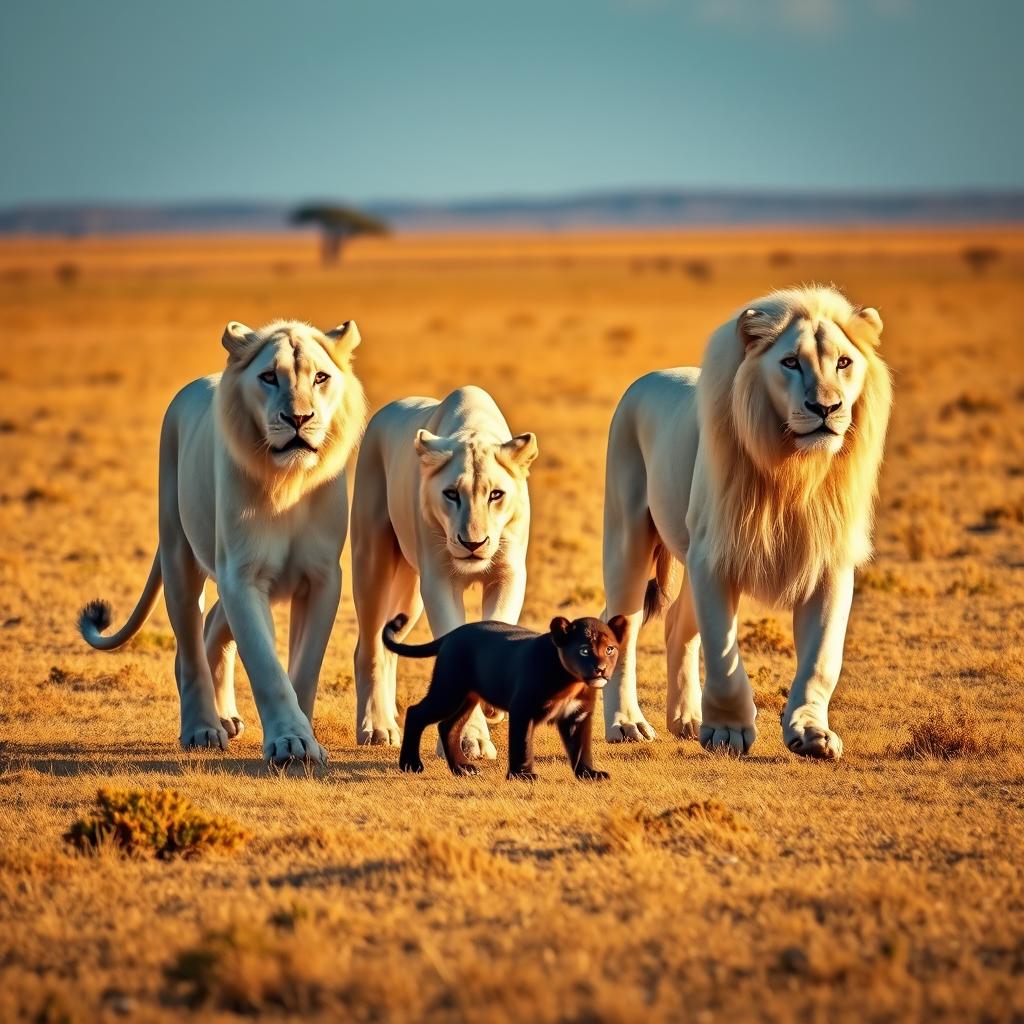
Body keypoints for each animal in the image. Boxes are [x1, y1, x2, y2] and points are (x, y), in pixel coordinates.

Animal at [78, 319, 367, 765]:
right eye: (269, 377)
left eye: (320, 377)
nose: (298, 418)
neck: (287, 481)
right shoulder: (241, 574)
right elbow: (266, 665)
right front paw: (290, 741)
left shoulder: (321, 578)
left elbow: (304, 669)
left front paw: (306, 739)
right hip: (179, 552)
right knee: (190, 646)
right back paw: (203, 728)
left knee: (214, 624)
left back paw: (225, 716)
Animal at [350, 386, 537, 757]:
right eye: (451, 494)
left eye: (496, 494)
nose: (473, 543)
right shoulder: (438, 582)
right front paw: (471, 739)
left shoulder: (509, 574)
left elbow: (500, 620)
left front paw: (492, 710)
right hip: (371, 560)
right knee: (369, 648)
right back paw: (377, 728)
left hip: (409, 594)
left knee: (388, 645)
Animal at [601, 285, 892, 758]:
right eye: (790, 362)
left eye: (844, 363)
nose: (826, 407)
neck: (794, 468)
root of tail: (647, 379)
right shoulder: (714, 555)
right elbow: (724, 656)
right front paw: (727, 731)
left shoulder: (828, 561)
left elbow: (822, 659)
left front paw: (810, 731)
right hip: (628, 537)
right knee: (619, 622)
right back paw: (626, 723)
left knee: (676, 623)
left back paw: (685, 718)